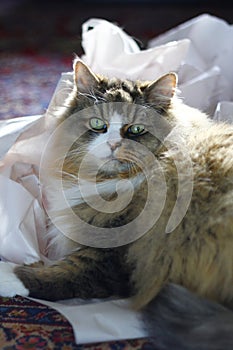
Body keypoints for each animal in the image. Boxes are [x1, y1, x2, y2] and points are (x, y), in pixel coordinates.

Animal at [0, 58, 233, 348]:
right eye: (98, 123)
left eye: (136, 130)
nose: (113, 144)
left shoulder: (114, 256)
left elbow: (56, 276)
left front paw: (7, 274)